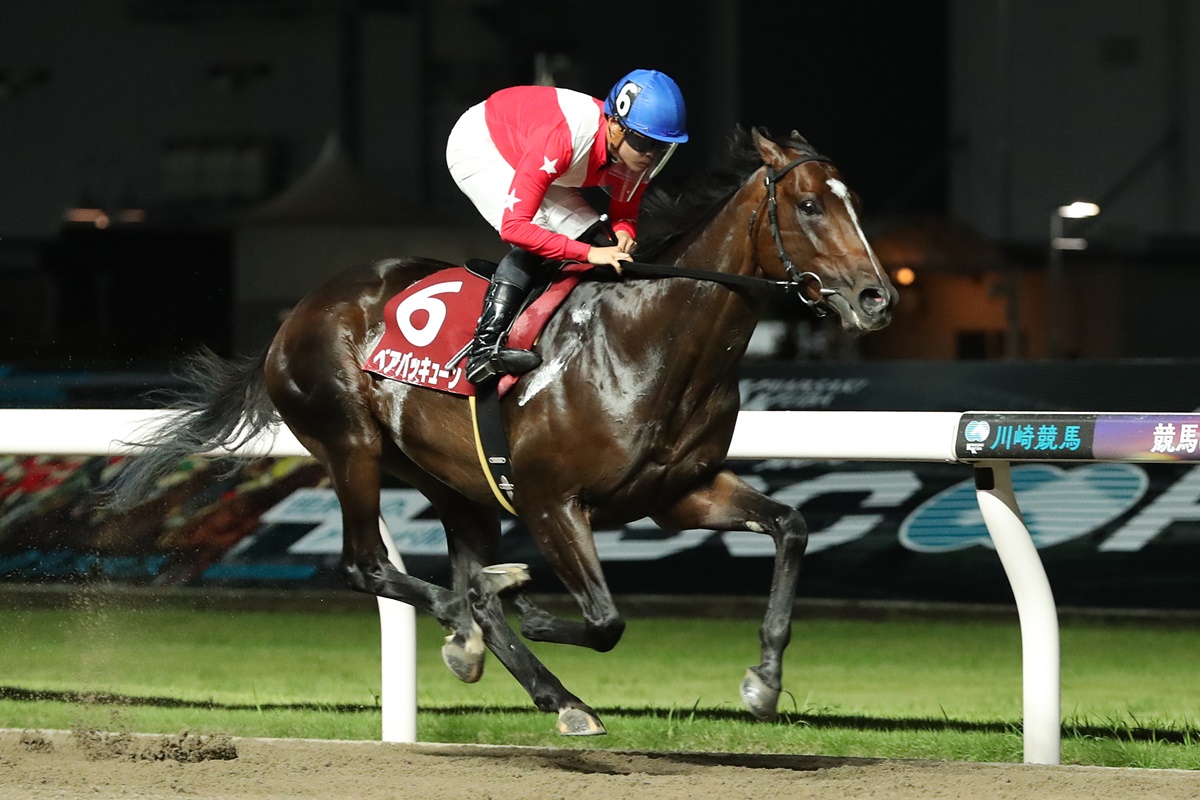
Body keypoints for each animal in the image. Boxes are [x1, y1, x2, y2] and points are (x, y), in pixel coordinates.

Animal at [110, 126, 897, 736]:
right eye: (807, 205)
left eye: (857, 206)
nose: (876, 298)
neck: (648, 339)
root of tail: (298, 315)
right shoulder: (551, 500)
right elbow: (604, 619)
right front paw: (514, 602)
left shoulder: (682, 492)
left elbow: (792, 525)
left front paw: (764, 679)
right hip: (351, 445)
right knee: (368, 564)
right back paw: (477, 620)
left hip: (452, 481)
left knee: (443, 562)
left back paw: (528, 670)